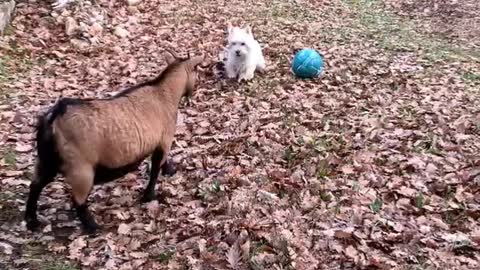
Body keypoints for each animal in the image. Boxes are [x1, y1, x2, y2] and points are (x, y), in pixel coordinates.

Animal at [24, 50, 204, 234]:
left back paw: (32, 222)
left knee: (35, 185)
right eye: (197, 70)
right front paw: (149, 196)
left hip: (47, 160)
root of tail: (53, 118)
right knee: (77, 200)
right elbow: (155, 169)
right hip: (81, 168)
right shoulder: (165, 139)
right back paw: (93, 227)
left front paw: (170, 171)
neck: (164, 92)